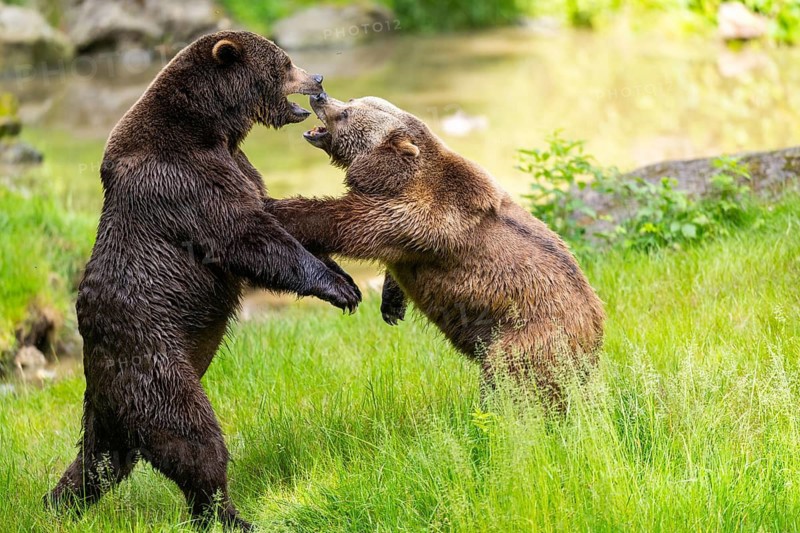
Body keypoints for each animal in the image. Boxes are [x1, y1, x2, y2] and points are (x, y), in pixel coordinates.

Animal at [46, 32, 361, 531]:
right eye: (284, 62)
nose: (317, 77)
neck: (212, 127)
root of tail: (97, 376)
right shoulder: (183, 179)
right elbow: (243, 235)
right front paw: (339, 288)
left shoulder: (236, 164)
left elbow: (270, 210)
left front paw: (345, 275)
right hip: (155, 367)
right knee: (194, 441)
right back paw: (231, 515)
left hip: (111, 407)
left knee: (100, 463)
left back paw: (57, 502)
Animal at [269, 93, 605, 402]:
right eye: (351, 100)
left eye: (346, 113)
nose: (319, 95)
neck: (395, 176)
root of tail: (595, 336)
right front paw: (392, 302)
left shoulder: (417, 217)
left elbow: (346, 223)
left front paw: (278, 208)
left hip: (530, 335)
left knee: (509, 380)